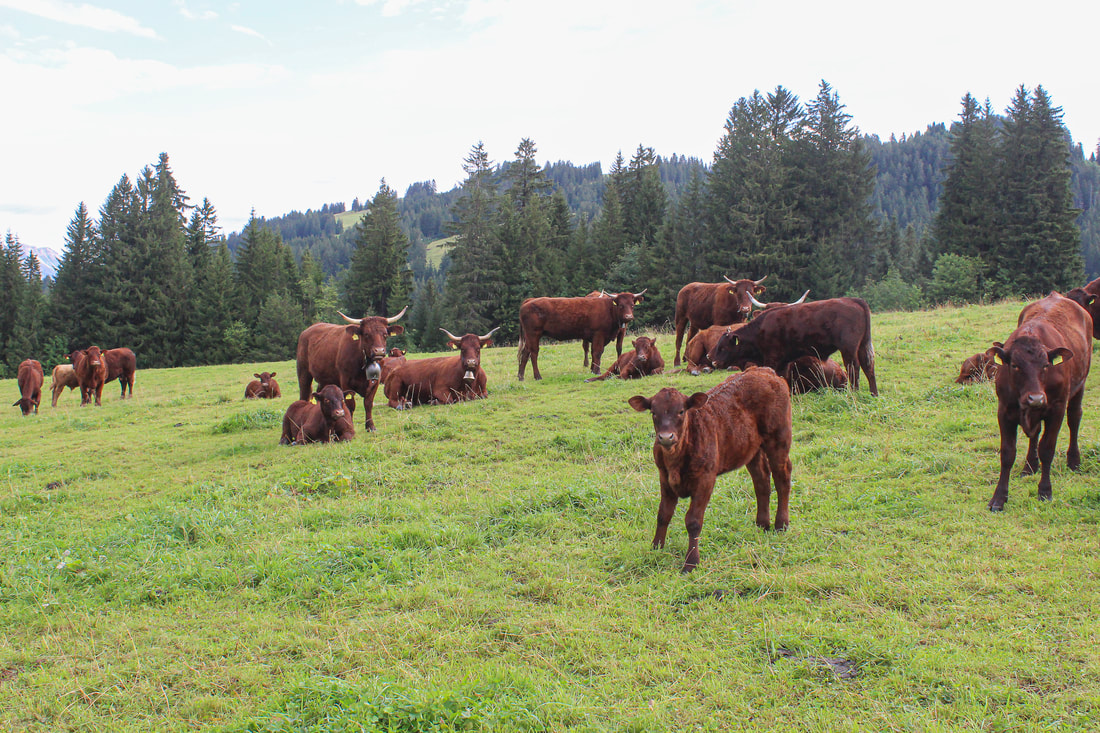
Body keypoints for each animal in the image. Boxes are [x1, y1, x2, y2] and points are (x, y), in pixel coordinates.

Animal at [628, 367, 794, 573]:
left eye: (681, 411)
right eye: (653, 412)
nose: (666, 437)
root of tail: (762, 370)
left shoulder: (705, 479)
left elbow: (693, 521)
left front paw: (691, 563)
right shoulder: (664, 478)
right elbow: (663, 514)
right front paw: (656, 547)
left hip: (779, 439)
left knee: (782, 478)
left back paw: (781, 525)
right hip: (750, 448)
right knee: (761, 481)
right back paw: (762, 524)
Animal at [710, 297, 878, 396]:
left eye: (723, 347)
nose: (711, 358)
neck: (760, 330)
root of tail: (853, 300)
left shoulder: (772, 359)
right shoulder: (783, 362)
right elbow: (783, 379)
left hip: (848, 349)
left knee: (854, 367)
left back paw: (854, 393)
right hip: (863, 346)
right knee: (868, 366)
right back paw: (873, 394)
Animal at [986, 292, 1092, 512]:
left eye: (1046, 365)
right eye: (1015, 365)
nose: (1036, 398)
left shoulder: (1056, 409)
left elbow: (1047, 449)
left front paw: (1044, 491)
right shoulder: (1004, 411)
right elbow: (1007, 453)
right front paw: (999, 498)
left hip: (1080, 385)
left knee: (1074, 419)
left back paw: (1074, 461)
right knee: (1035, 434)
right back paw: (1030, 466)